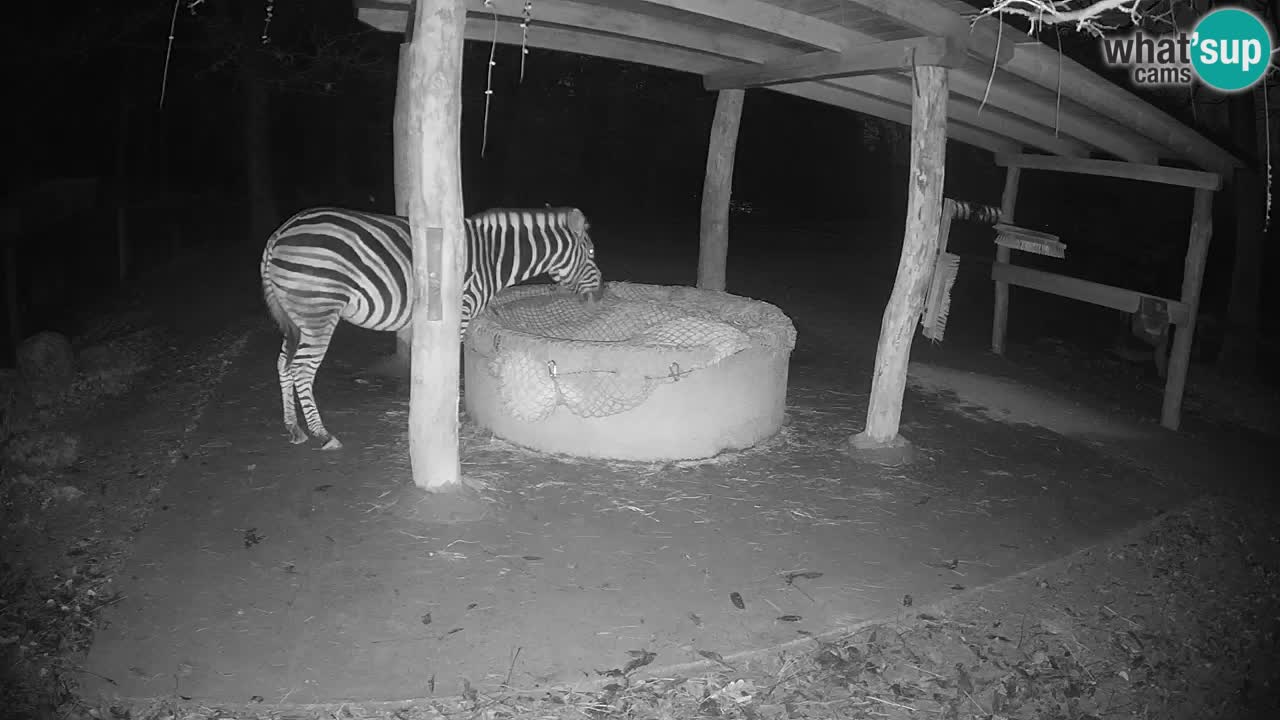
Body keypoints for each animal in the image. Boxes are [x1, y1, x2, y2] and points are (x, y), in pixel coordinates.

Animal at [260, 206, 603, 450]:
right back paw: (322, 433)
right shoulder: (460, 313)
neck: (493, 259)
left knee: (283, 363)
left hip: (296, 316)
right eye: (590, 253)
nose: (600, 297)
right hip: (318, 309)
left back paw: (293, 428)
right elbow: (451, 364)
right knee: (301, 369)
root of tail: (280, 233)